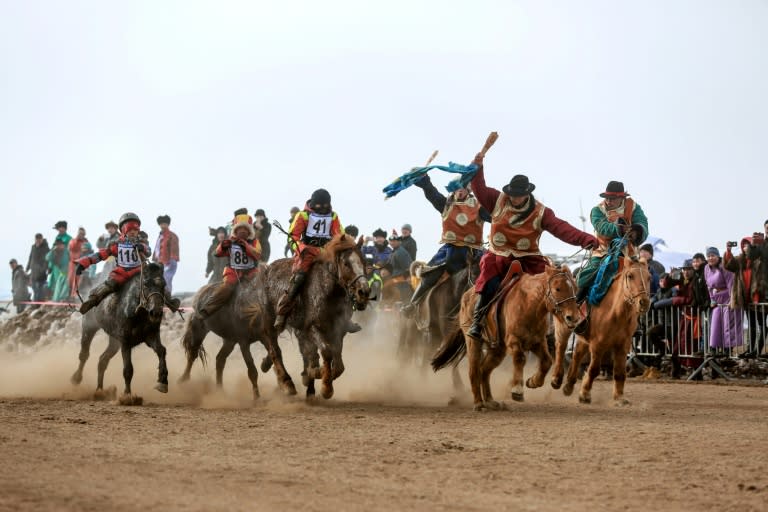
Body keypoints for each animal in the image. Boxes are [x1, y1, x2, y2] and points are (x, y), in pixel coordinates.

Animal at [70, 262, 170, 402]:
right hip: (88, 328)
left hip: (114, 341)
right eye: (145, 284)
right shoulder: (125, 341)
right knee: (84, 354)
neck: (138, 311)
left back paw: (99, 391)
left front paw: (162, 382)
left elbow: (161, 350)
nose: (156, 312)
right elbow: (128, 369)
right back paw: (76, 378)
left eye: (164, 285)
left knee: (103, 360)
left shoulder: (151, 335)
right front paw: (127, 395)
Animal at [252, 235, 368, 400]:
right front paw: (324, 385)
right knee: (275, 349)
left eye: (364, 262)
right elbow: (325, 352)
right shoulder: (311, 328)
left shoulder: (338, 330)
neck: (329, 292)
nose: (363, 292)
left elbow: (338, 362)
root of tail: (266, 270)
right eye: (346, 263)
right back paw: (287, 383)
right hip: (269, 320)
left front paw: (318, 376)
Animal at [436, 264, 580, 412]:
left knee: (484, 370)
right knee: (474, 370)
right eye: (558, 288)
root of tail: (465, 296)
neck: (528, 304)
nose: (573, 318)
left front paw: (533, 382)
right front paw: (517, 390)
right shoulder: (514, 341)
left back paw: (490, 401)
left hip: (497, 349)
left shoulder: (537, 342)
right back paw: (478, 403)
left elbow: (546, 361)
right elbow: (520, 359)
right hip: (473, 342)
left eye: (575, 288)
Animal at [556, 254, 652, 406]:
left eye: (649, 277)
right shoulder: (598, 344)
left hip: (584, 338)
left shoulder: (623, 345)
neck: (616, 312)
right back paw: (556, 379)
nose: (644, 302)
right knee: (561, 348)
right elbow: (594, 369)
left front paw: (619, 397)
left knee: (577, 355)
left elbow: (619, 371)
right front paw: (584, 395)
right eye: (630, 276)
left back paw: (568, 386)